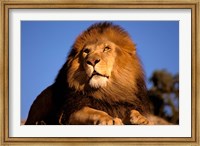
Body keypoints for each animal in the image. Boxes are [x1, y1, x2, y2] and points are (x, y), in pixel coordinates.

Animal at [25, 22, 168, 125]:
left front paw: (141, 119)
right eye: (86, 51)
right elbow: (93, 111)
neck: (108, 91)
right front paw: (109, 119)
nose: (92, 61)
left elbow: (133, 111)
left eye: (106, 48)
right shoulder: (69, 111)